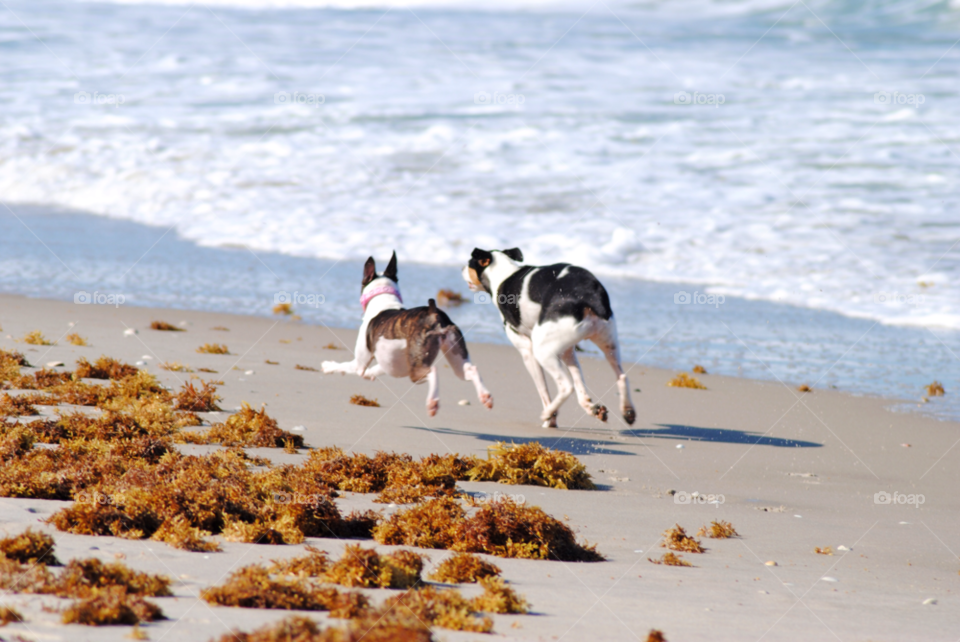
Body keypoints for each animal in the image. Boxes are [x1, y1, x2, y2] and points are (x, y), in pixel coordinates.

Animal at [324, 250, 496, 416]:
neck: (385, 301)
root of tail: (434, 313)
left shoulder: (358, 364)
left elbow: (344, 366)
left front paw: (327, 366)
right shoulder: (391, 364)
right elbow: (377, 368)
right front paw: (370, 374)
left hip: (417, 367)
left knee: (432, 371)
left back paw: (433, 402)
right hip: (456, 356)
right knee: (470, 370)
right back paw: (485, 397)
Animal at [462, 248, 632, 428]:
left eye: (469, 263)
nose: (461, 269)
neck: (504, 273)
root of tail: (588, 294)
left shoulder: (527, 352)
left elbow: (543, 390)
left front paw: (551, 419)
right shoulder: (568, 351)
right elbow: (580, 384)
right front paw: (590, 408)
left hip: (542, 350)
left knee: (566, 386)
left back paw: (547, 413)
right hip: (609, 345)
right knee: (621, 376)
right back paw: (627, 411)